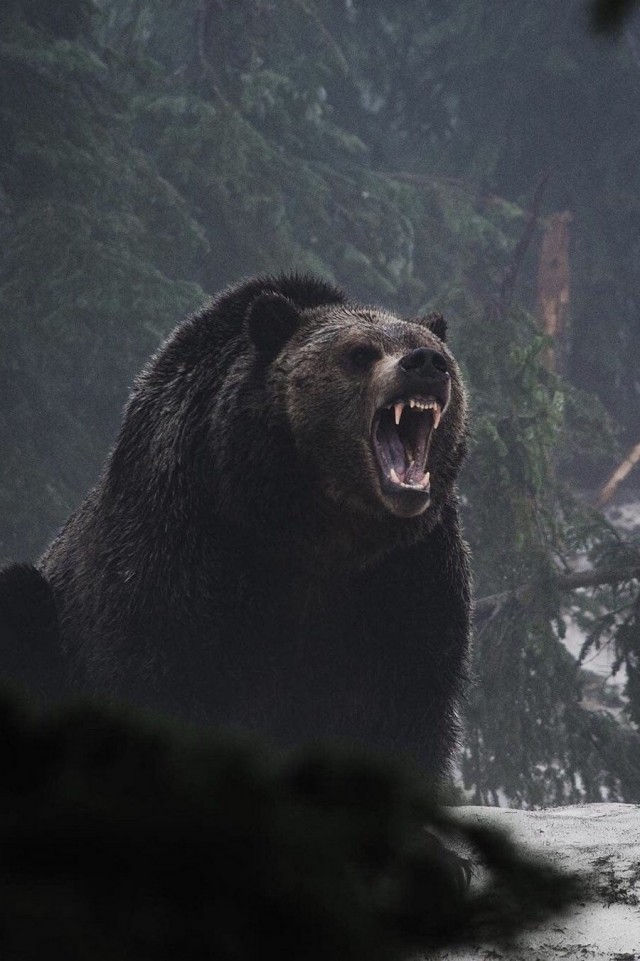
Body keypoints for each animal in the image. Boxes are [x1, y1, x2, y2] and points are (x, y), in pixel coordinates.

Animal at [41, 272, 470, 780]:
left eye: (433, 350)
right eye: (360, 353)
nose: (426, 364)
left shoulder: (412, 576)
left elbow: (406, 709)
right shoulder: (181, 541)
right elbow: (156, 673)